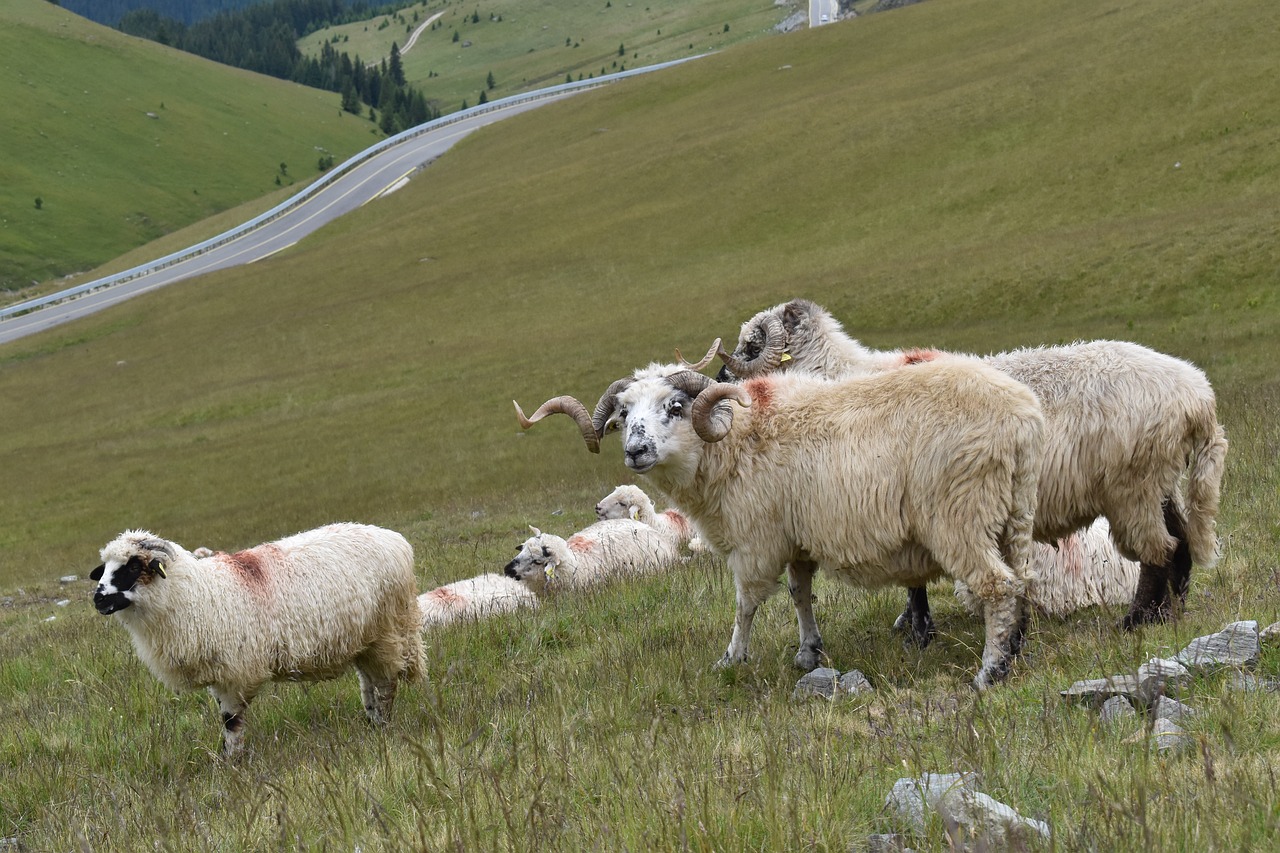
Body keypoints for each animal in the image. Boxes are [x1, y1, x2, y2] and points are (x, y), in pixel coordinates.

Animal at [92, 525, 430, 758]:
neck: (198, 594)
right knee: (368, 683)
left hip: (388, 630)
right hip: (366, 639)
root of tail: (395, 539)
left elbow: (231, 721)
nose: (98, 599)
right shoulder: (220, 674)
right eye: (104, 569)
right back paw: (371, 723)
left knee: (385, 684)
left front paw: (232, 763)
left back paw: (383, 726)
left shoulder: (235, 672)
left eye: (133, 566)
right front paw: (228, 760)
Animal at [721, 295, 1228, 635]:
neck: (838, 376)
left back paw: (1137, 619)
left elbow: (914, 582)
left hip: (1132, 485)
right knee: (1181, 541)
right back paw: (1170, 613)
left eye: (750, 345)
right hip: (1157, 479)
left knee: (1159, 552)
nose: (720, 382)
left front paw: (918, 629)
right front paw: (913, 625)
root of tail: (1198, 394)